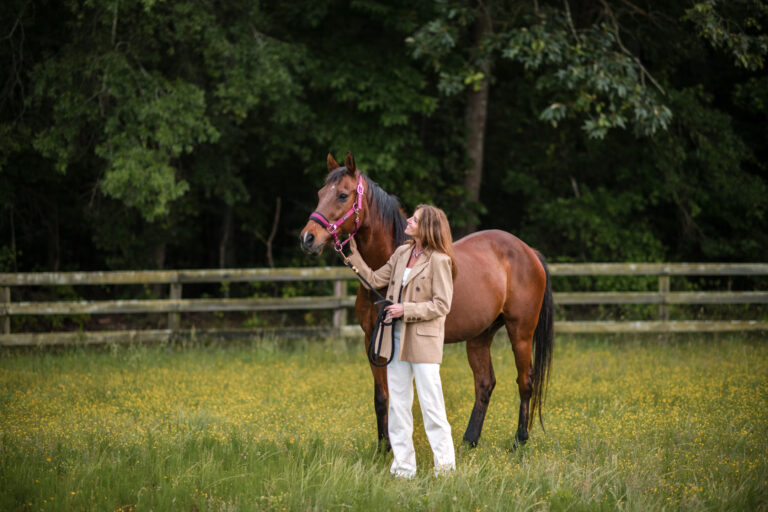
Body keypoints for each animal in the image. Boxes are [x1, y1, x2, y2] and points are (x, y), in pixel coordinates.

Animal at [300, 152, 554, 448]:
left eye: (342, 195)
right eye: (320, 193)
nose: (307, 238)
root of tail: (529, 251)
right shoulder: (372, 339)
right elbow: (381, 397)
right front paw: (383, 448)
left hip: (520, 333)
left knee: (525, 381)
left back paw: (519, 441)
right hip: (480, 336)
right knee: (485, 383)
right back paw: (469, 440)